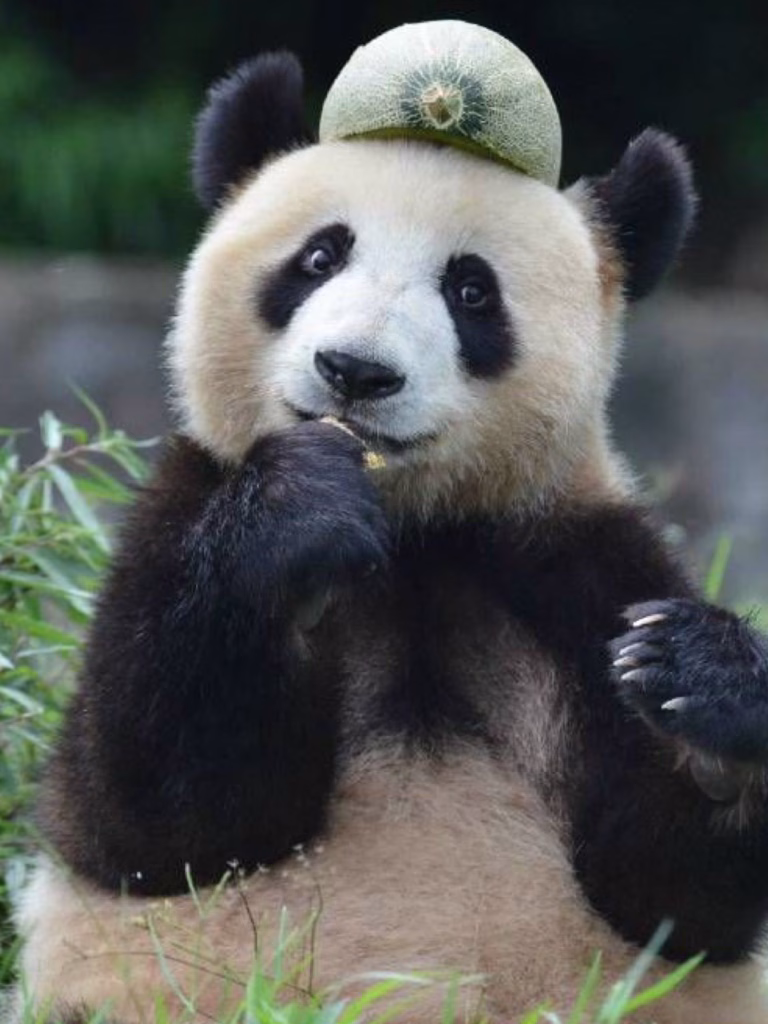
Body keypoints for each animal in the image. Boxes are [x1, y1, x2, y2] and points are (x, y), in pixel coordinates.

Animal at [10, 43, 768, 1024]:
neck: (413, 532)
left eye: (471, 289)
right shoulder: (182, 503)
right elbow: (146, 817)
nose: (355, 372)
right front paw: (300, 512)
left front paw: (699, 700)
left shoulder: (574, 563)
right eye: (319, 255)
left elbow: (676, 902)